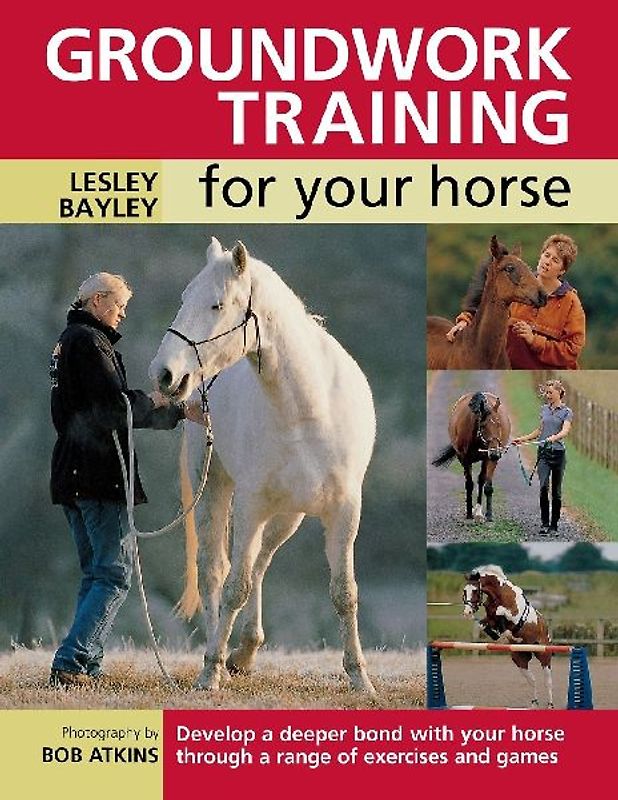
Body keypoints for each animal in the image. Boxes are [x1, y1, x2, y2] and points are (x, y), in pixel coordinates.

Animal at [149, 237, 377, 694]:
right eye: (183, 299)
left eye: (217, 305)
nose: (164, 374)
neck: (309, 408)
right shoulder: (251, 504)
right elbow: (233, 586)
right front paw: (210, 671)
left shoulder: (345, 510)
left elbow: (344, 592)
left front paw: (360, 678)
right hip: (217, 488)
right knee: (217, 570)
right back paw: (221, 656)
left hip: (288, 515)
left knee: (259, 564)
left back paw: (247, 650)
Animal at [432, 391, 511, 523]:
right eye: (483, 426)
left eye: (499, 424)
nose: (495, 453)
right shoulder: (464, 458)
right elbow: (469, 484)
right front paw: (469, 514)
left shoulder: (490, 459)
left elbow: (487, 485)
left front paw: (488, 516)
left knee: (481, 480)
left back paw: (478, 512)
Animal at [462, 565, 554, 708]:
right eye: (465, 591)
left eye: (475, 590)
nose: (467, 612)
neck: (499, 594)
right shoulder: (490, 619)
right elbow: (484, 624)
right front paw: (499, 636)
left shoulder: (514, 615)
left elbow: (501, 612)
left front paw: (506, 634)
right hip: (520, 660)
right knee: (532, 680)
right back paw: (534, 703)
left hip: (544, 655)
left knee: (547, 680)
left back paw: (550, 704)